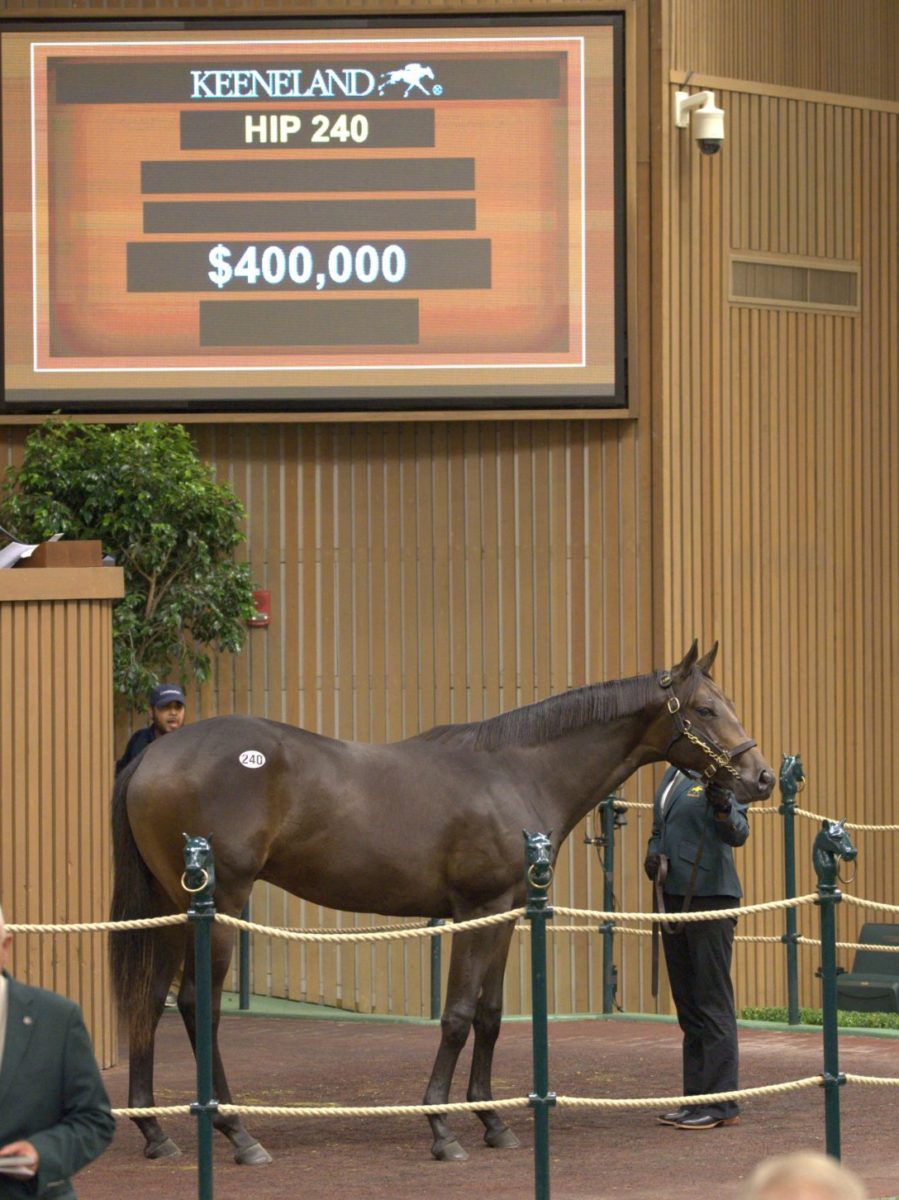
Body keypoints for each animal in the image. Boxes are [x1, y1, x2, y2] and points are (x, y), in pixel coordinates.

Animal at [110, 648, 772, 1161]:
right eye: (706, 709)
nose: (761, 778)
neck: (517, 772)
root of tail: (153, 755)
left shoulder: (507, 913)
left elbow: (490, 1014)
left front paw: (493, 1120)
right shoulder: (476, 910)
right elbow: (456, 1014)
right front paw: (441, 1126)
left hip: (169, 907)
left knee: (147, 999)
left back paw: (154, 1131)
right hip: (218, 905)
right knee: (196, 1005)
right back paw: (236, 1131)